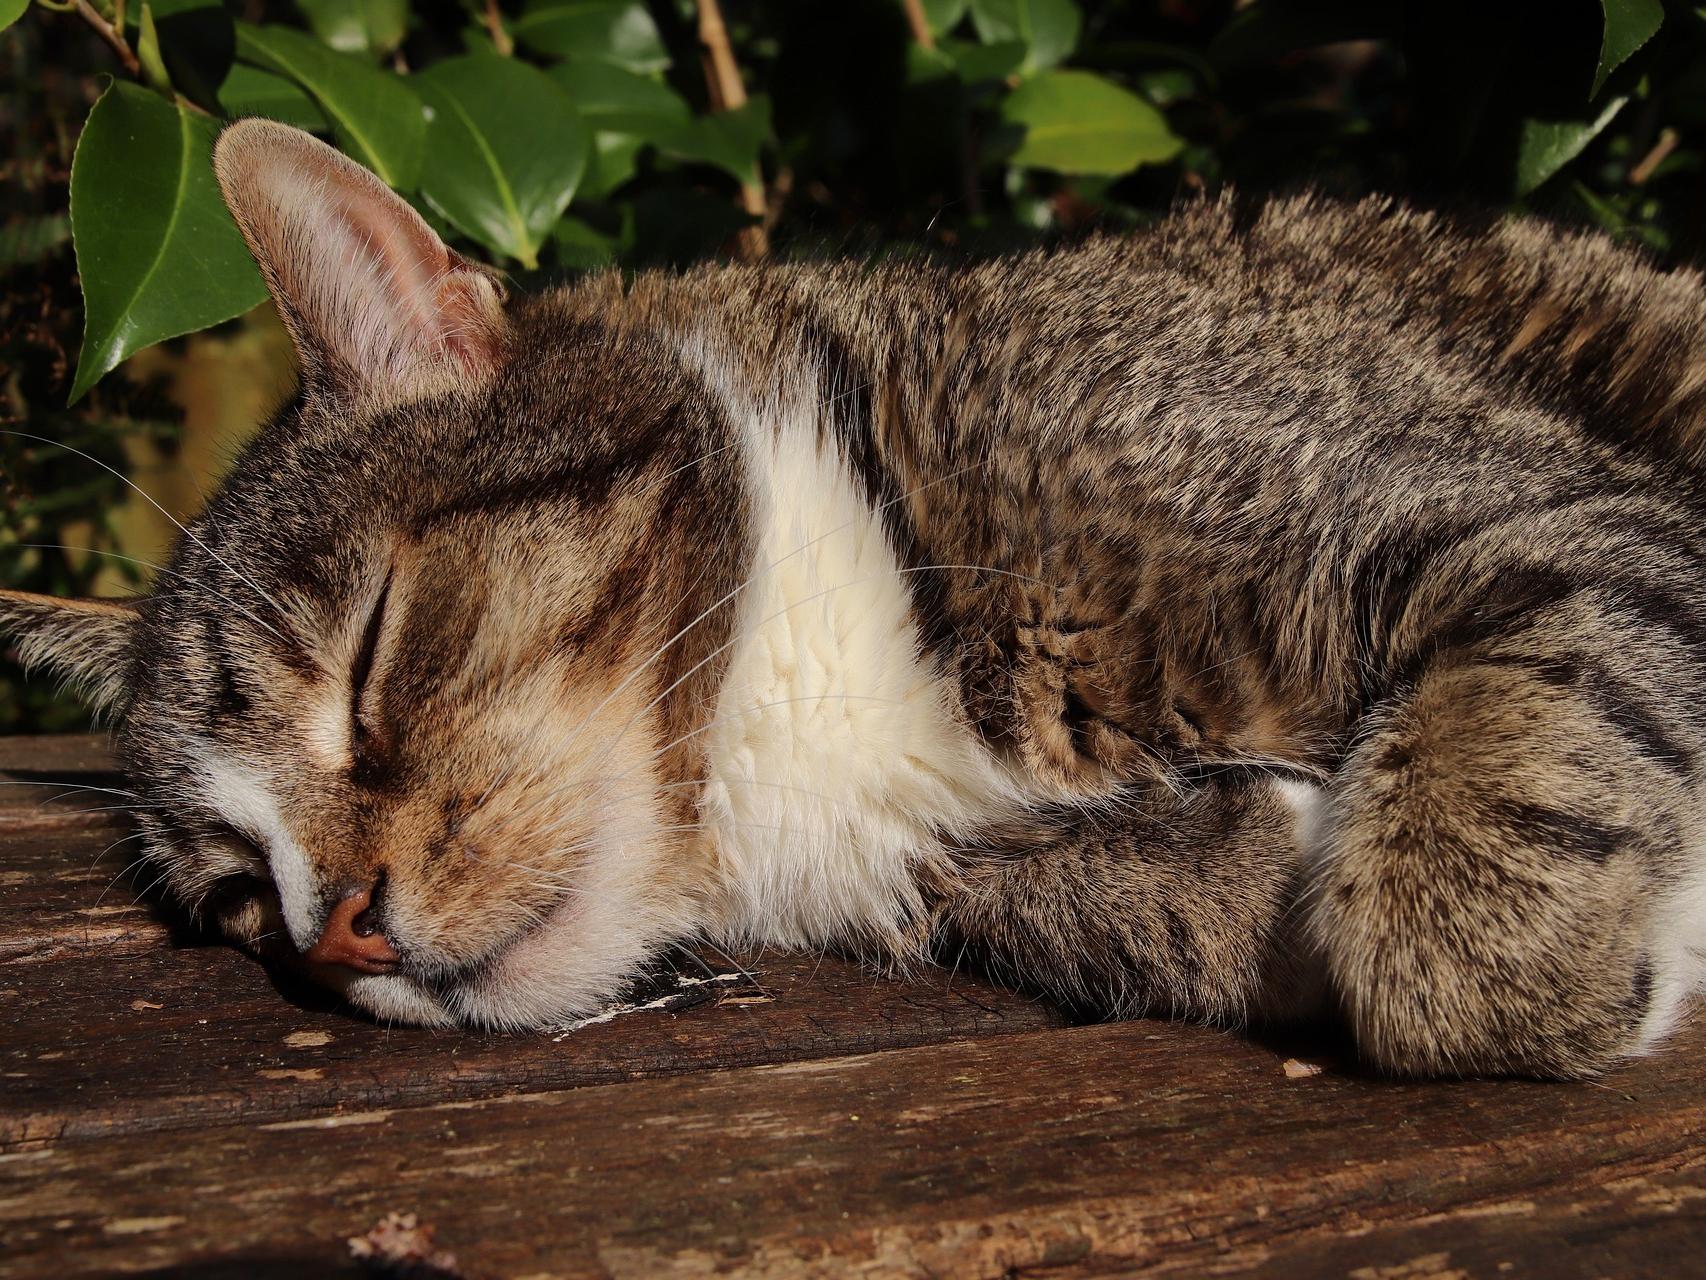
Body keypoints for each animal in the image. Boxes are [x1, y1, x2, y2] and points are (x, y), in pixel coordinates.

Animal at [3, 122, 1706, 1085]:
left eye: (369, 663)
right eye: (239, 899)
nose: (335, 936)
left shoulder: (1540, 505)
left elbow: (1485, 841)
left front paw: (1538, 967)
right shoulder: (952, 864)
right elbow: (1131, 905)